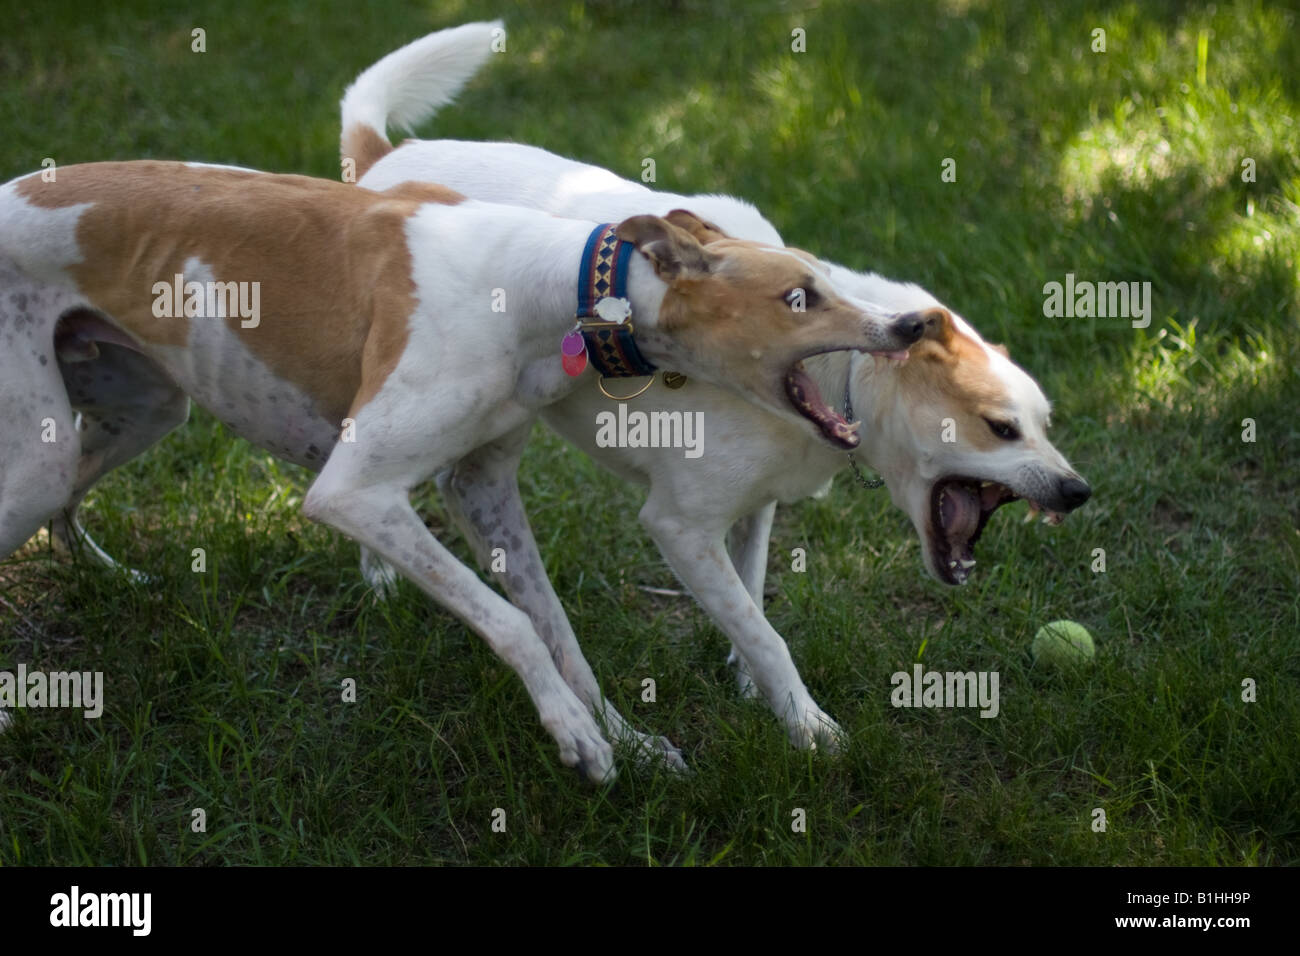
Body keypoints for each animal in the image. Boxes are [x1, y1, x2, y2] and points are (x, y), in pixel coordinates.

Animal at [2, 160, 935, 780]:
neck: (540, 284)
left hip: (138, 408)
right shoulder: (355, 492)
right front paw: (573, 733)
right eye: (799, 296)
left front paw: (625, 738)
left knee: (71, 501)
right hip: (38, 453)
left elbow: (559, 630)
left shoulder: (482, 487)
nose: (912, 324)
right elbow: (516, 624)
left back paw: (106, 577)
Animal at [332, 18, 1086, 759]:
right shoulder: (679, 525)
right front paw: (809, 728)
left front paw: (755, 689)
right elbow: (766, 634)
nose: (1078, 491)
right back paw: (379, 573)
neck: (837, 374)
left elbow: (748, 600)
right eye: (1001, 427)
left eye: (1046, 424)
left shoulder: (756, 508)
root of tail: (383, 157)